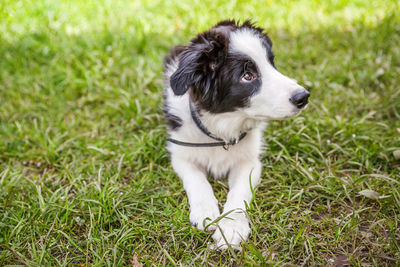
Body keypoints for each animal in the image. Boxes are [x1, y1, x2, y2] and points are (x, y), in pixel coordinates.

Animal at [162, 19, 310, 250]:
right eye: (247, 76)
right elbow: (197, 180)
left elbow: (239, 193)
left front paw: (231, 229)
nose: (303, 96)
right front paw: (206, 213)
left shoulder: (250, 162)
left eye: (271, 63)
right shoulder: (181, 154)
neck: (220, 130)